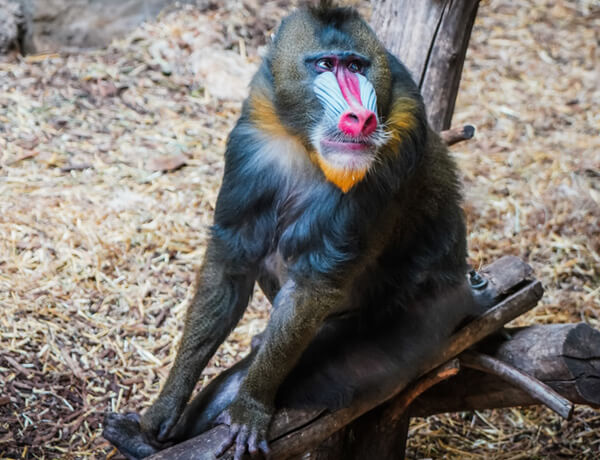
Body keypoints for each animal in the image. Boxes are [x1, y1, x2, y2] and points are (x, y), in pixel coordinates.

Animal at [103, 1, 488, 458]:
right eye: (325, 65)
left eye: (356, 66)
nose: (361, 118)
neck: (306, 144)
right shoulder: (252, 138)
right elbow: (232, 262)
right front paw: (164, 409)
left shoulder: (399, 137)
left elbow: (313, 281)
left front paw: (250, 407)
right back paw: (138, 440)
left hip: (413, 328)